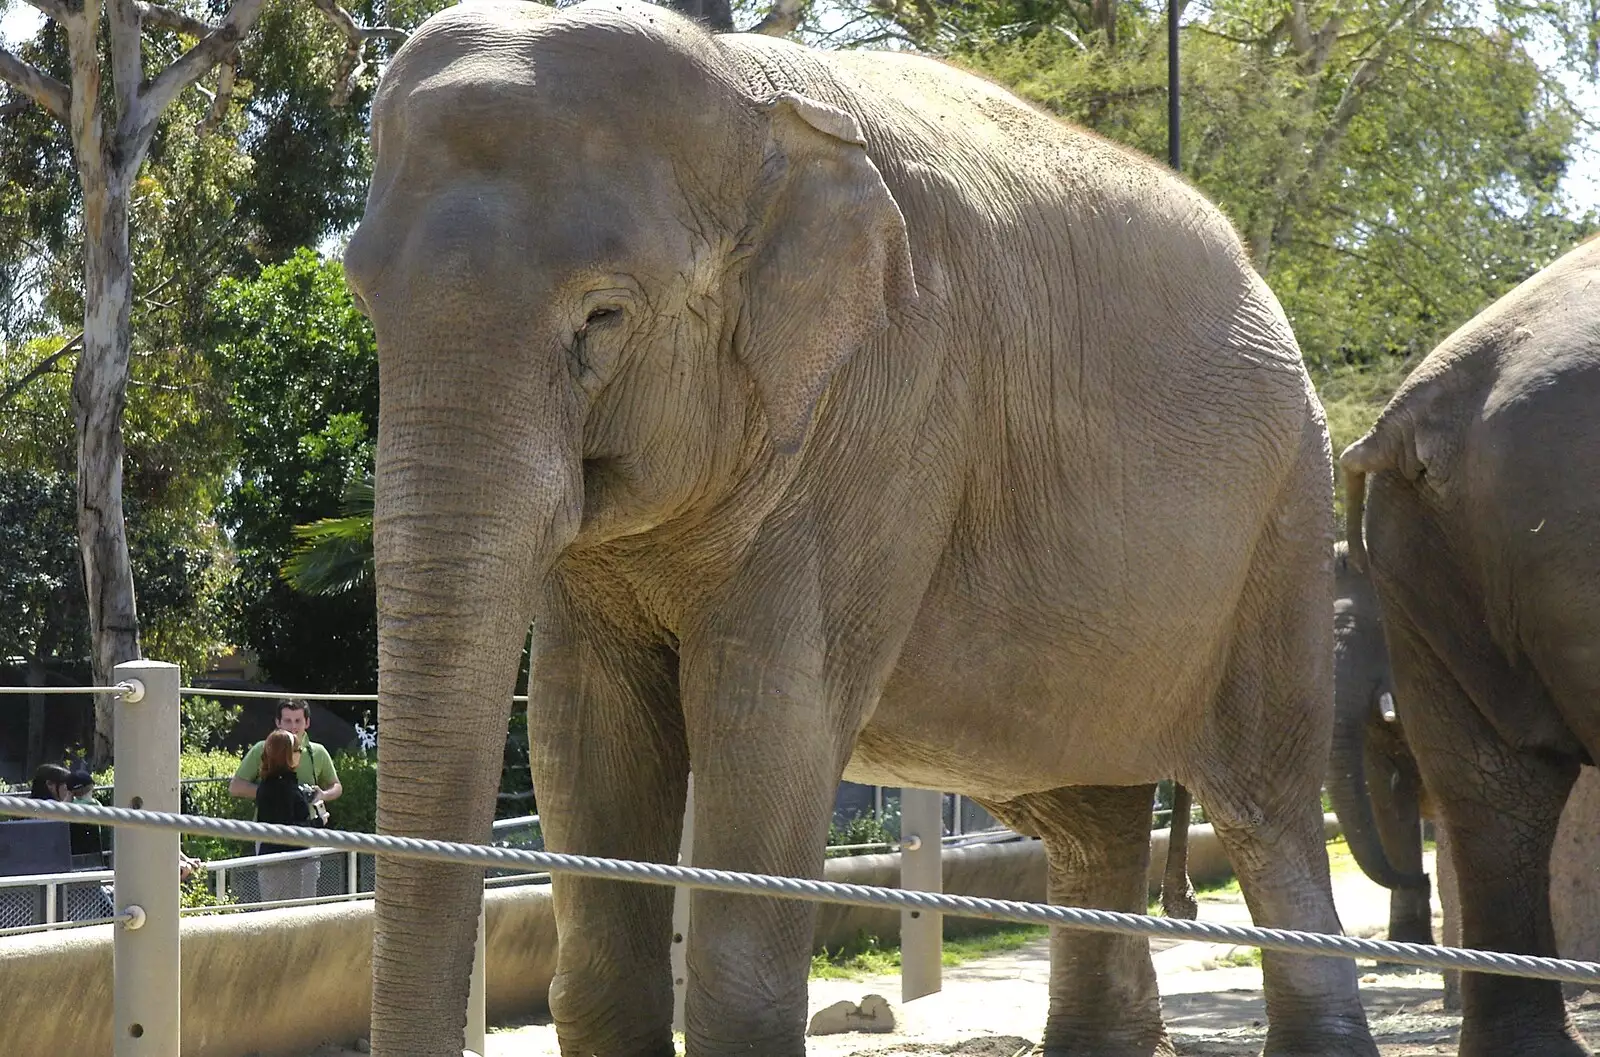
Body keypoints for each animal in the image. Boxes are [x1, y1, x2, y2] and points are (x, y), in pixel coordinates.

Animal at [347, 4, 1376, 1049]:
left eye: (604, 315)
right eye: (361, 296)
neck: (749, 94)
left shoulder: (887, 407)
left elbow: (773, 711)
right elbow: (589, 722)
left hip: (1286, 517)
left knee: (1267, 814)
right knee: (1095, 818)